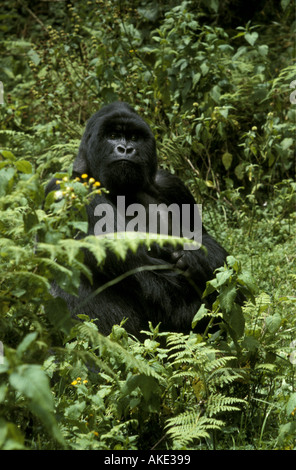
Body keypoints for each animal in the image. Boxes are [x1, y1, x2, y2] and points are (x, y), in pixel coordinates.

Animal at [46, 102, 228, 338]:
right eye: (113, 135)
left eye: (133, 137)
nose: (125, 149)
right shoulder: (68, 188)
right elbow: (139, 265)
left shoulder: (171, 185)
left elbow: (206, 242)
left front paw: (196, 258)